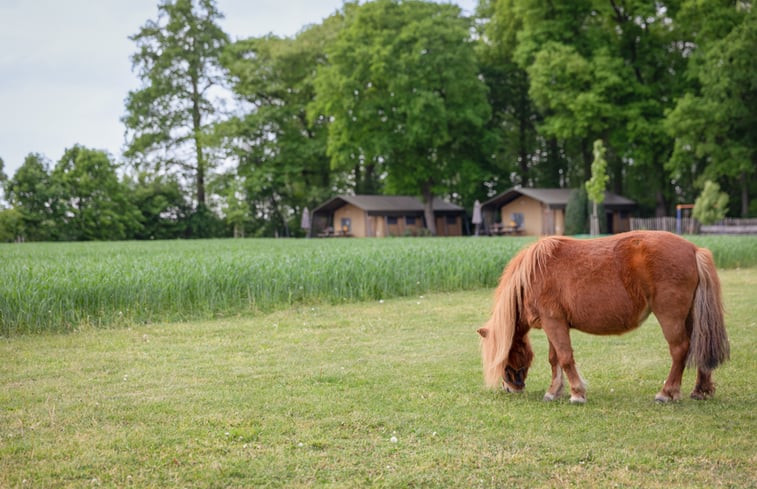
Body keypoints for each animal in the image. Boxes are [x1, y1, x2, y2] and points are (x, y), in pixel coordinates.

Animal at [476, 231, 728, 402]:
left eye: (500, 358)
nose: (510, 388)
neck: (532, 275)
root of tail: (694, 250)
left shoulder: (553, 322)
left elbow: (565, 357)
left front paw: (577, 393)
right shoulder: (553, 324)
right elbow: (554, 358)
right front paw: (553, 391)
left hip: (670, 317)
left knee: (680, 350)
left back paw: (667, 392)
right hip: (691, 316)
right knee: (699, 344)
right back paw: (700, 390)